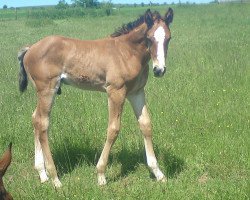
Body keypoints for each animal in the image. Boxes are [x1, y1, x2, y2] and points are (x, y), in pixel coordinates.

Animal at [18, 8, 174, 188]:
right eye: (149, 38)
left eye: (168, 38)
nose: (159, 70)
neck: (126, 52)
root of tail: (30, 48)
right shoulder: (115, 91)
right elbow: (113, 129)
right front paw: (101, 174)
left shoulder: (136, 92)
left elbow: (146, 125)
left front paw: (158, 173)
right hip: (47, 89)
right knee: (43, 123)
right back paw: (55, 178)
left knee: (35, 118)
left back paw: (42, 173)